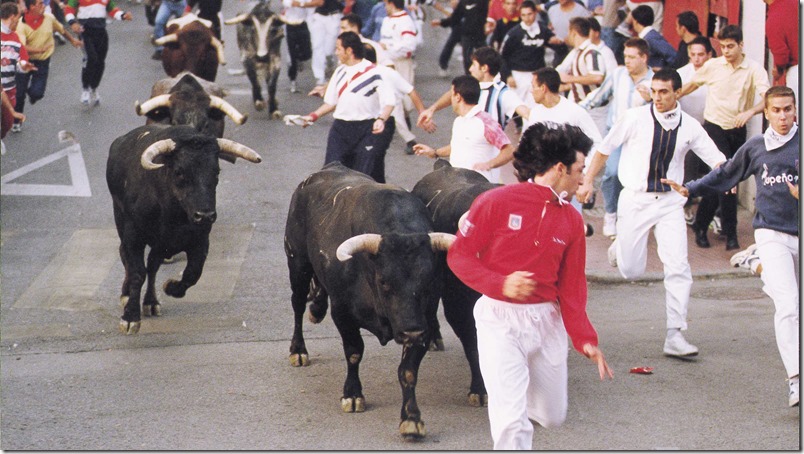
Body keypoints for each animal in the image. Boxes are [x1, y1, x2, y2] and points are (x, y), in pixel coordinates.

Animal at [106, 124, 260, 334]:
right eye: (180, 171)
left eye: (216, 171)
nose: (205, 215)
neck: (173, 213)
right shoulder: (133, 238)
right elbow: (137, 272)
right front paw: (130, 317)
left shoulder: (200, 241)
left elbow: (193, 273)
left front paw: (171, 287)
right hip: (121, 221)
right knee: (128, 259)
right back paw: (127, 295)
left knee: (153, 265)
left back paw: (151, 302)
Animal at [284, 162, 456, 436]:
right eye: (384, 281)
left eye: (428, 281)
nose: (411, 332)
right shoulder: (343, 313)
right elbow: (354, 352)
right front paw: (352, 395)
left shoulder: (424, 321)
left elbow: (408, 371)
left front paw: (411, 418)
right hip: (297, 261)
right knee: (297, 304)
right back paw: (298, 350)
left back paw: (317, 308)